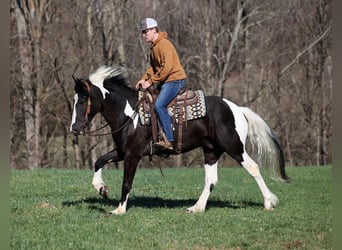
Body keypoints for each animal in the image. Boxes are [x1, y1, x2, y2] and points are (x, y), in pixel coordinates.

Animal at [69, 66, 288, 215]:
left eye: (83, 100)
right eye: (74, 100)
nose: (74, 129)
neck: (130, 115)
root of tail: (236, 109)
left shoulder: (133, 155)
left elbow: (126, 183)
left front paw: (119, 210)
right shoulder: (122, 152)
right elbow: (99, 161)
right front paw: (102, 188)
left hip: (234, 147)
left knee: (253, 167)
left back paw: (268, 202)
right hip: (211, 150)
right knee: (211, 180)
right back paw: (196, 208)